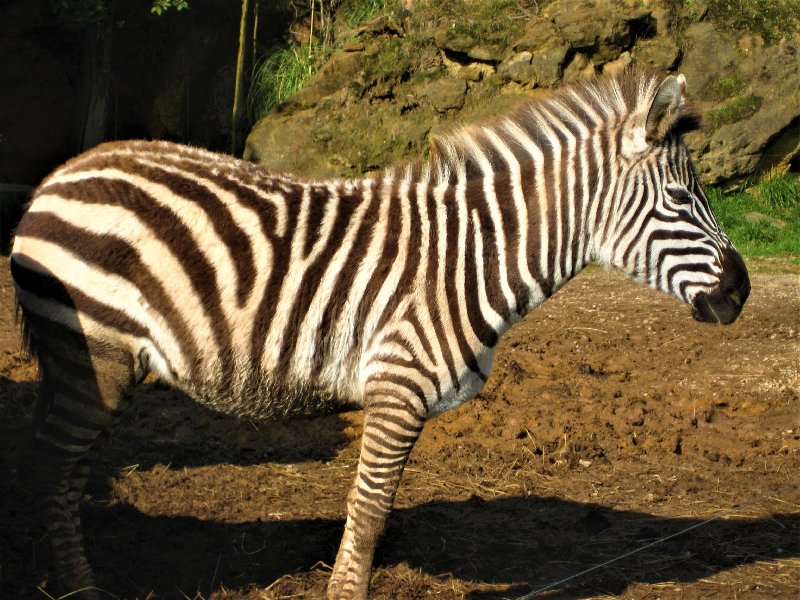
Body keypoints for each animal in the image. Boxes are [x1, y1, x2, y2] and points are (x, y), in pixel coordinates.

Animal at [12, 71, 752, 600]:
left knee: (59, 466)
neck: (469, 259)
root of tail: (59, 174)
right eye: (682, 200)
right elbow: (369, 509)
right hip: (96, 355)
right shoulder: (398, 387)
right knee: (51, 469)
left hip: (93, 365)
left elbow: (377, 509)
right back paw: (78, 591)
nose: (742, 291)